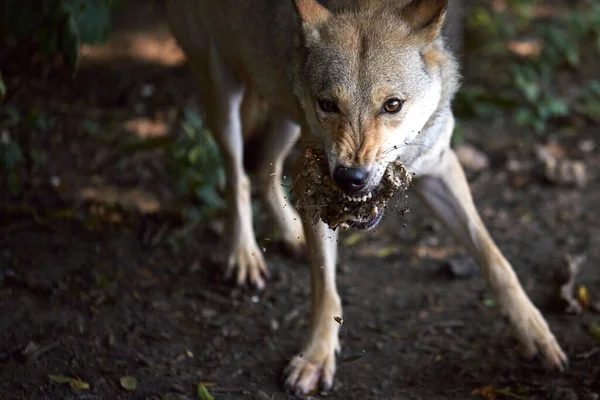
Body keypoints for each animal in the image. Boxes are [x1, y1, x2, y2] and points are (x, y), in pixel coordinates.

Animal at [165, 0, 568, 394]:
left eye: (392, 105)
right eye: (328, 104)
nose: (350, 179)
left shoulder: (440, 168)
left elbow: (495, 259)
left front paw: (534, 332)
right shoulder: (314, 189)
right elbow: (325, 289)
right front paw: (316, 359)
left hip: (283, 113)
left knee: (264, 166)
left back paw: (291, 236)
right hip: (224, 96)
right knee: (237, 177)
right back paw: (243, 255)